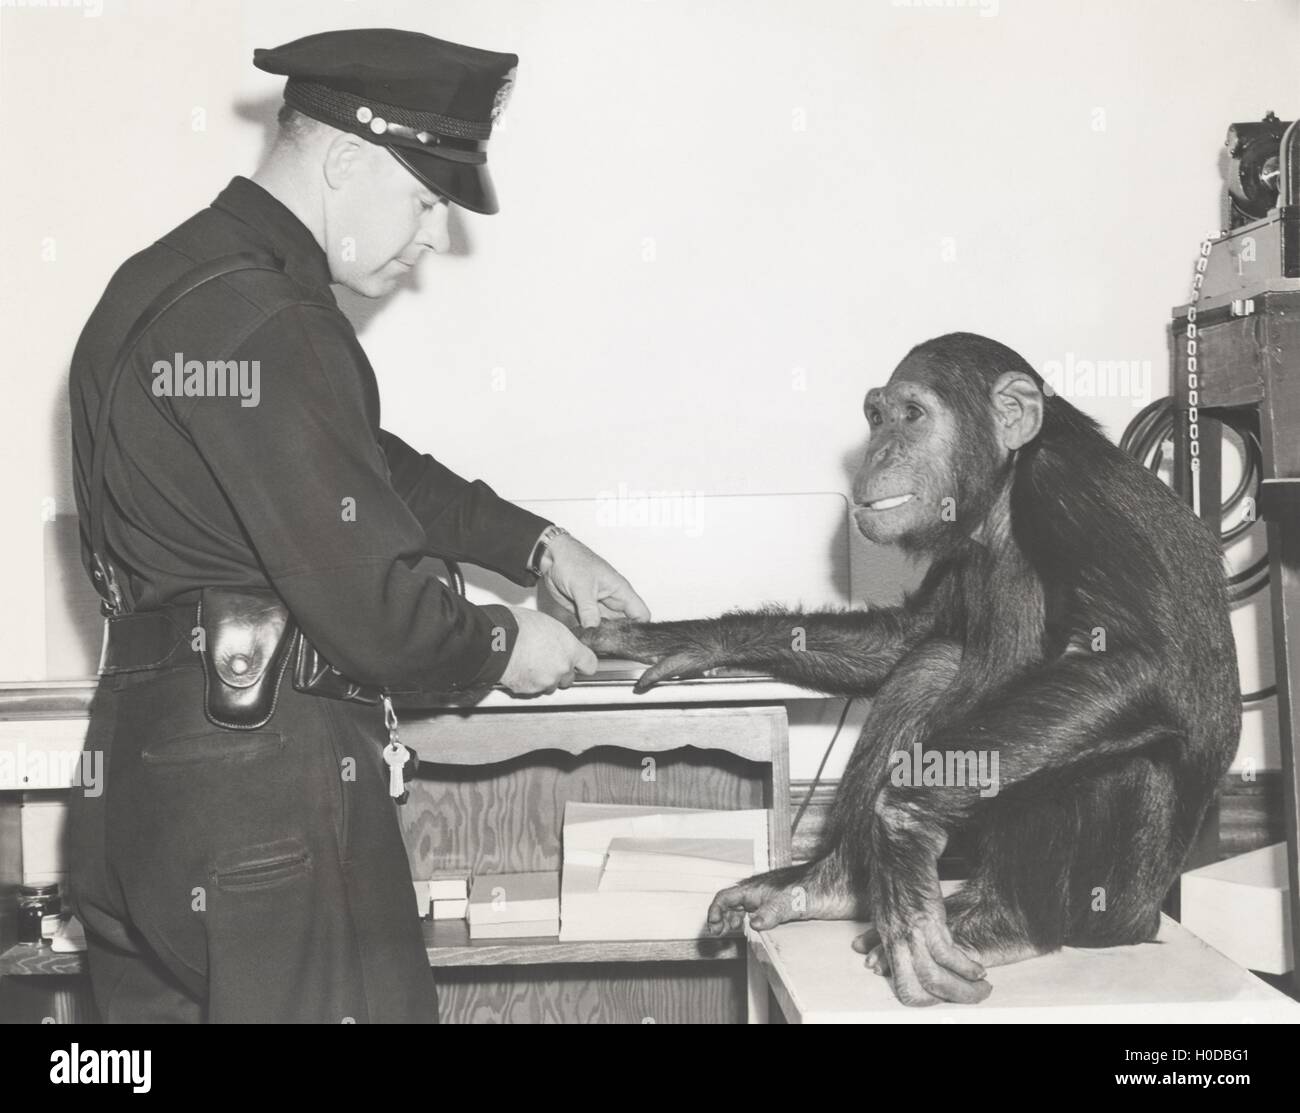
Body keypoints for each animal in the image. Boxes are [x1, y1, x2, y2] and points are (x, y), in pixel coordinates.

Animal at [585, 335, 1242, 1003]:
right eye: (877, 417)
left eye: (913, 415)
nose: (878, 449)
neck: (1003, 494)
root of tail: (1152, 919)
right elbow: (910, 633)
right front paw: (684, 639)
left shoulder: (1070, 490)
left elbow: (1144, 663)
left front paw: (904, 824)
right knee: (931, 665)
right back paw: (828, 886)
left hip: (1115, 907)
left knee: (1099, 728)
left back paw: (1006, 922)